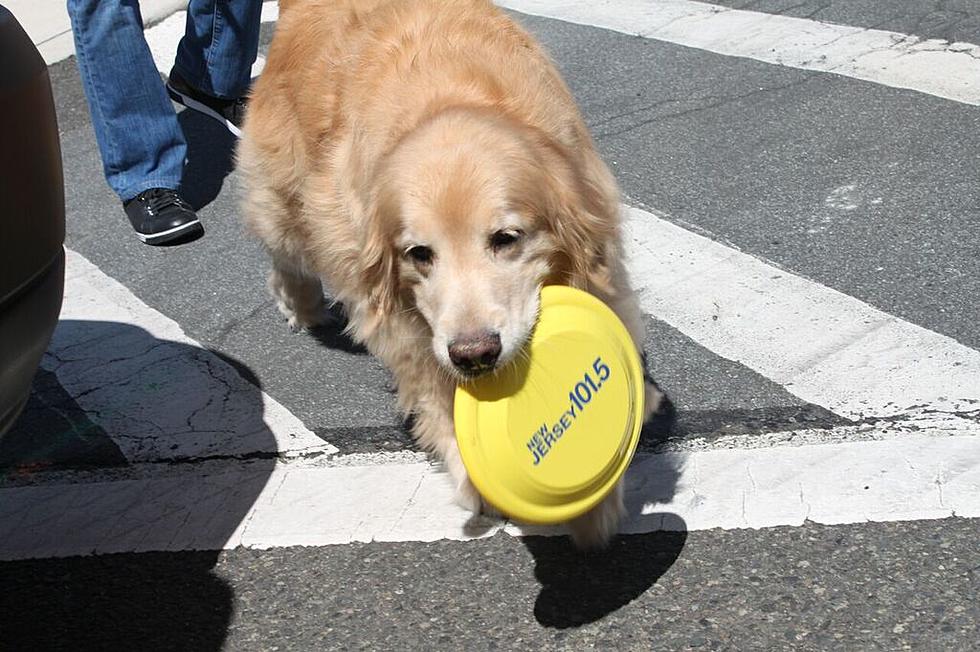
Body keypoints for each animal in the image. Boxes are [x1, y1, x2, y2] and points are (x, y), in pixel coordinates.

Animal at [240, 0, 664, 548]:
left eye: (506, 238)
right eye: (420, 253)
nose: (475, 354)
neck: (448, 97)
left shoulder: (595, 248)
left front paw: (598, 503)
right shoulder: (400, 314)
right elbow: (432, 388)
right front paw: (474, 476)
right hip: (290, 199)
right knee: (285, 249)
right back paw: (301, 304)